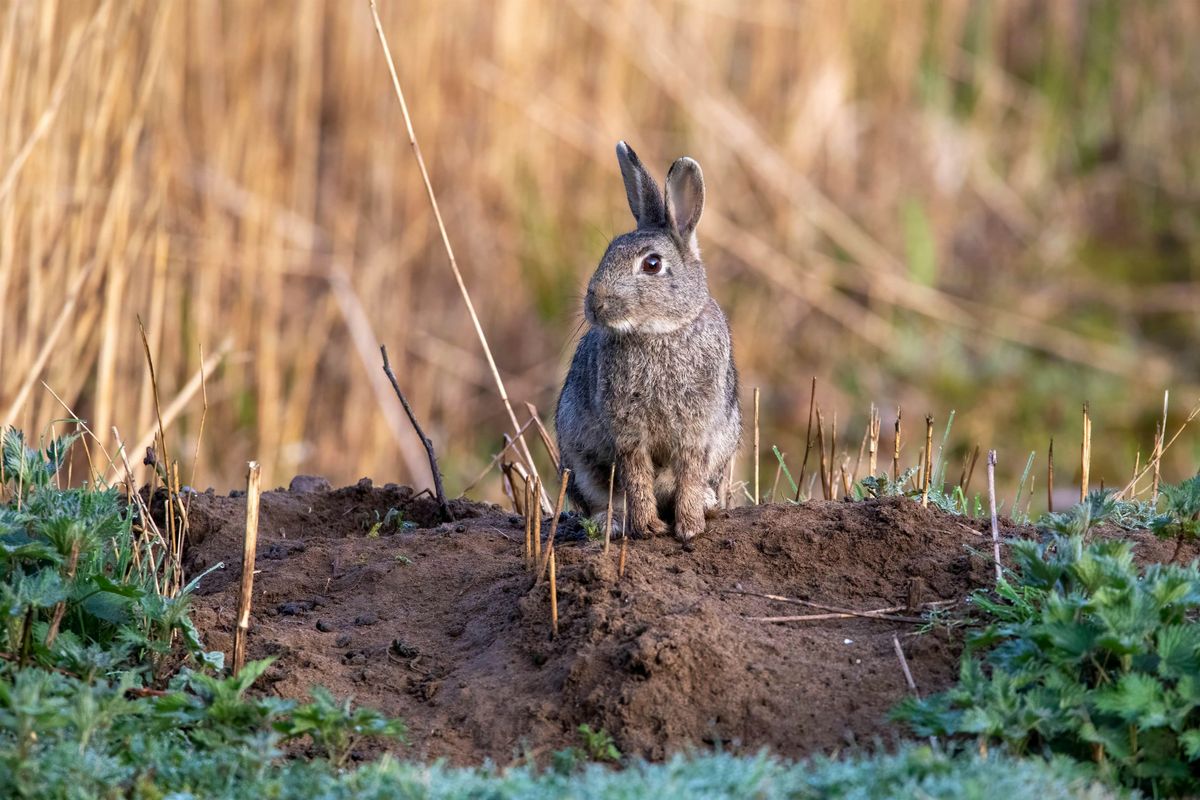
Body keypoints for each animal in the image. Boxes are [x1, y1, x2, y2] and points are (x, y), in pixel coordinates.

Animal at [554, 143, 739, 544]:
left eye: (652, 264)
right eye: (608, 251)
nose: (595, 303)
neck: (659, 333)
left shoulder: (696, 431)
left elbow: (689, 475)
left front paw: (689, 528)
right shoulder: (627, 432)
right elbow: (636, 477)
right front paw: (649, 528)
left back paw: (708, 505)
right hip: (579, 462)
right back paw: (613, 524)